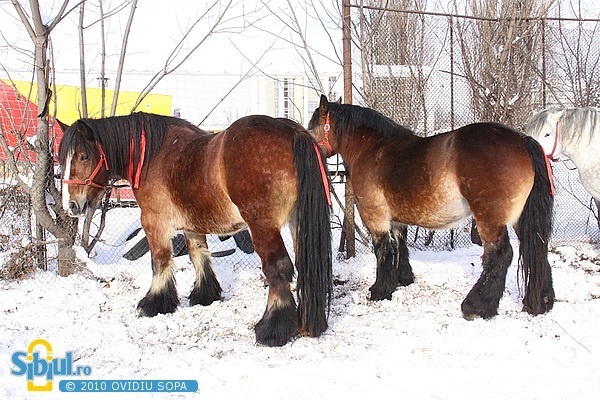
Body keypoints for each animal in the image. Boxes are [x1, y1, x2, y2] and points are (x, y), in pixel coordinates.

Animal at [58, 111, 332, 346]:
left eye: (83, 156)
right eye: (63, 159)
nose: (71, 205)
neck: (153, 155)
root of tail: (292, 131)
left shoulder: (154, 221)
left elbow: (160, 260)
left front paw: (154, 302)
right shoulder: (191, 224)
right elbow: (198, 255)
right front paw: (204, 295)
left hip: (263, 226)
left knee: (278, 268)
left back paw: (272, 330)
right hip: (297, 222)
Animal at [310, 96, 552, 318]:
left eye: (312, 126)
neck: (371, 149)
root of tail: (523, 141)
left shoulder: (375, 215)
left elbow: (383, 249)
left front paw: (380, 290)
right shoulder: (396, 218)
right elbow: (399, 245)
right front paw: (403, 279)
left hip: (489, 218)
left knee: (500, 255)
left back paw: (476, 306)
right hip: (520, 220)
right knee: (537, 249)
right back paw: (541, 303)